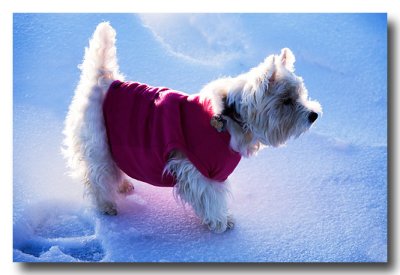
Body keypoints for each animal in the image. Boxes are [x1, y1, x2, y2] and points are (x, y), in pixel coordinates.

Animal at [62, 22, 322, 233]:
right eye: (286, 100)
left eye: (301, 95)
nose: (314, 115)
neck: (231, 118)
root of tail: (104, 81)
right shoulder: (198, 170)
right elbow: (211, 198)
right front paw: (221, 222)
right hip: (97, 144)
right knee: (96, 177)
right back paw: (106, 205)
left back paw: (123, 185)